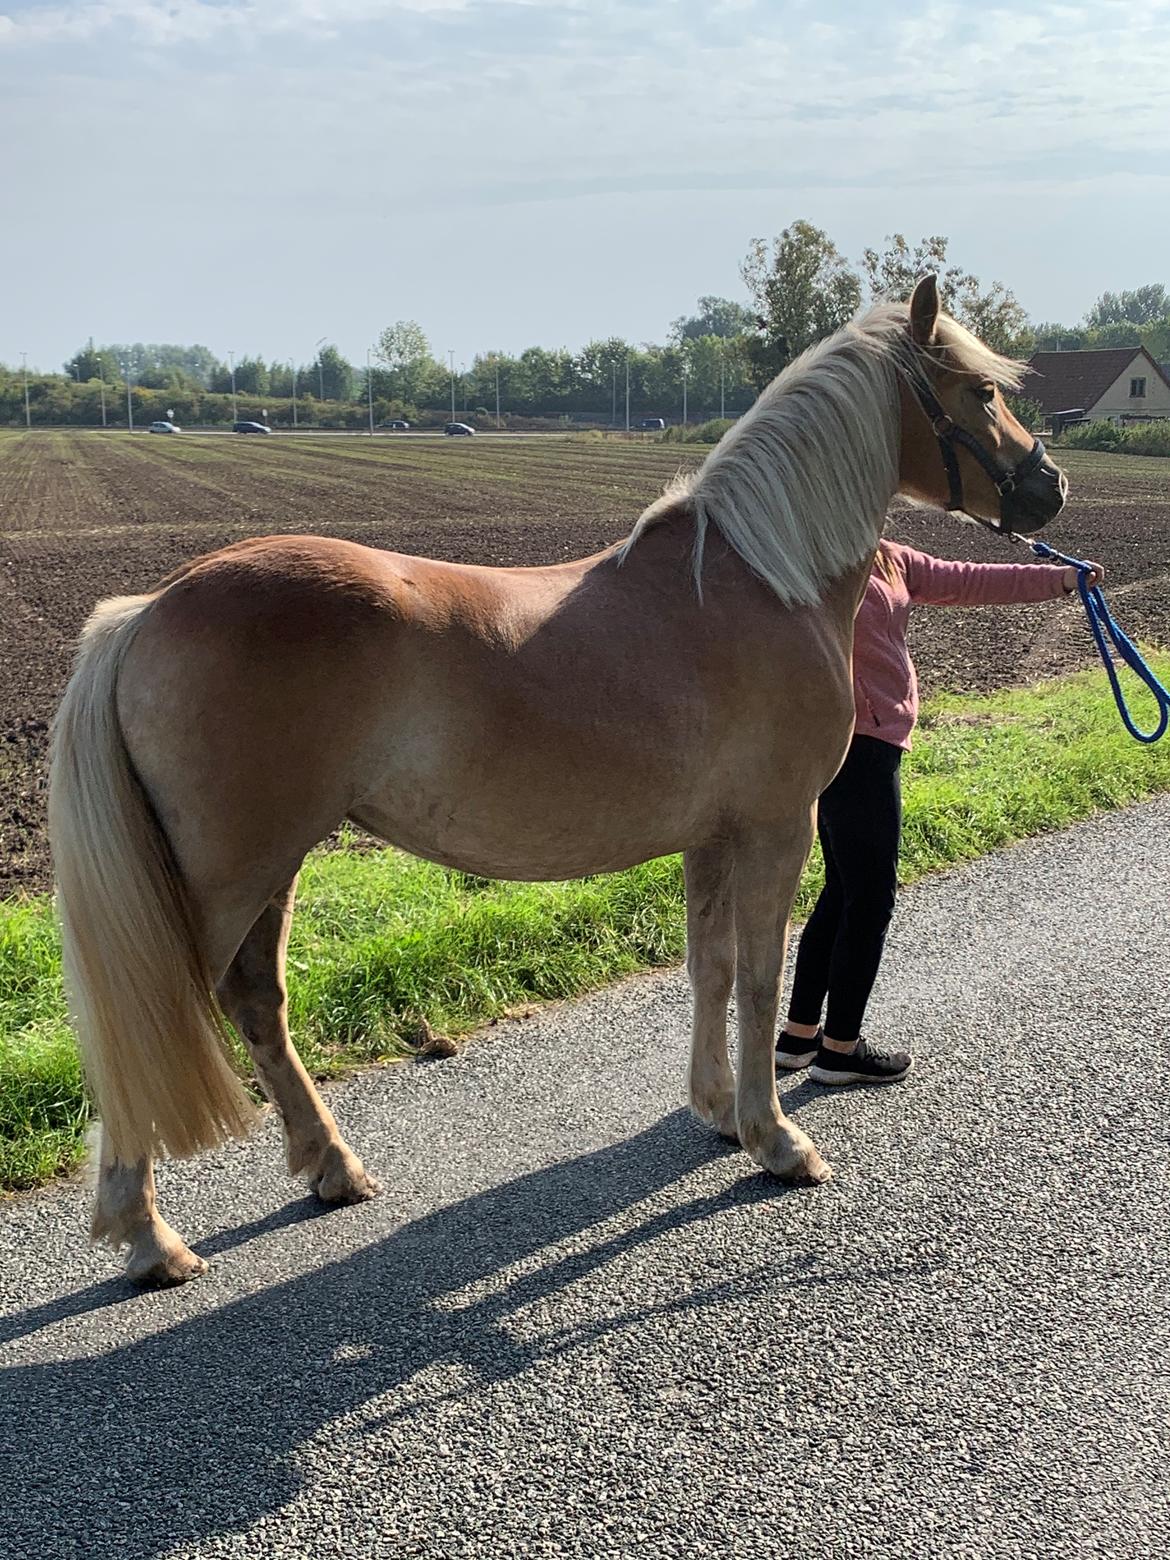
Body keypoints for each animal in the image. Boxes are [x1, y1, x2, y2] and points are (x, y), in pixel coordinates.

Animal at [48, 277, 1073, 1279]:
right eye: (983, 391)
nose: (1049, 485)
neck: (760, 579)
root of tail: (147, 610)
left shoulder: (712, 836)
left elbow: (709, 967)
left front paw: (714, 1111)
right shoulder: (777, 826)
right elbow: (759, 976)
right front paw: (776, 1141)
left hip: (275, 867)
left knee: (257, 1003)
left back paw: (332, 1169)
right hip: (228, 879)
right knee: (148, 1026)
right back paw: (150, 1237)